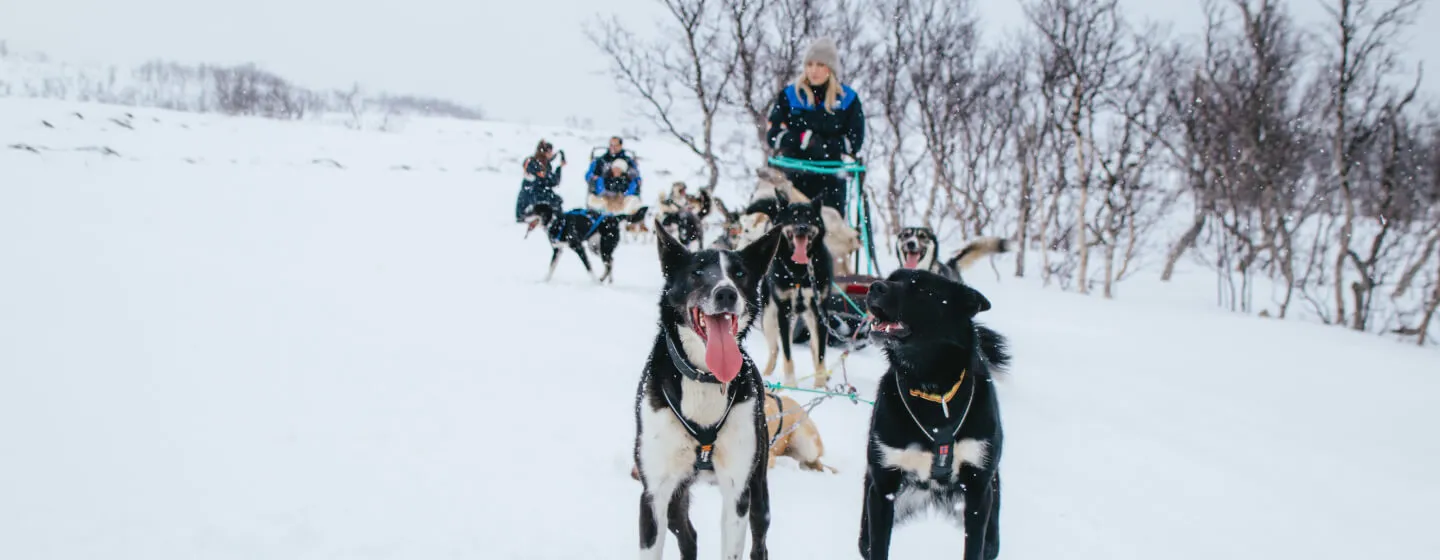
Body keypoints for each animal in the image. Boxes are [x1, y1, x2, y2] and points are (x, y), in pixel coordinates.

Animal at [636, 220, 783, 555]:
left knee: (760, 544)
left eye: (739, 273)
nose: (726, 293)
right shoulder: (654, 493)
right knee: (688, 535)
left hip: (759, 491)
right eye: (697, 272)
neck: (703, 376)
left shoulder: (737, 493)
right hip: (676, 497)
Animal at [760, 197, 840, 388]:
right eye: (794, 217)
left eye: (810, 217)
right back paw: (766, 376)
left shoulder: (820, 311)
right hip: (769, 317)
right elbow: (787, 352)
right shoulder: (784, 312)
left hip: (811, 316)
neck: (800, 270)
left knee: (813, 344)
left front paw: (820, 386)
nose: (803, 227)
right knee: (775, 349)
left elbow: (820, 352)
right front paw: (791, 385)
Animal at [858, 267, 1008, 555]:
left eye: (925, 290)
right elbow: (879, 546)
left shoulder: (978, 491)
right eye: (892, 277)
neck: (932, 390)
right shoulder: (883, 487)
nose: (875, 287)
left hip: (993, 526)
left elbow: (974, 547)